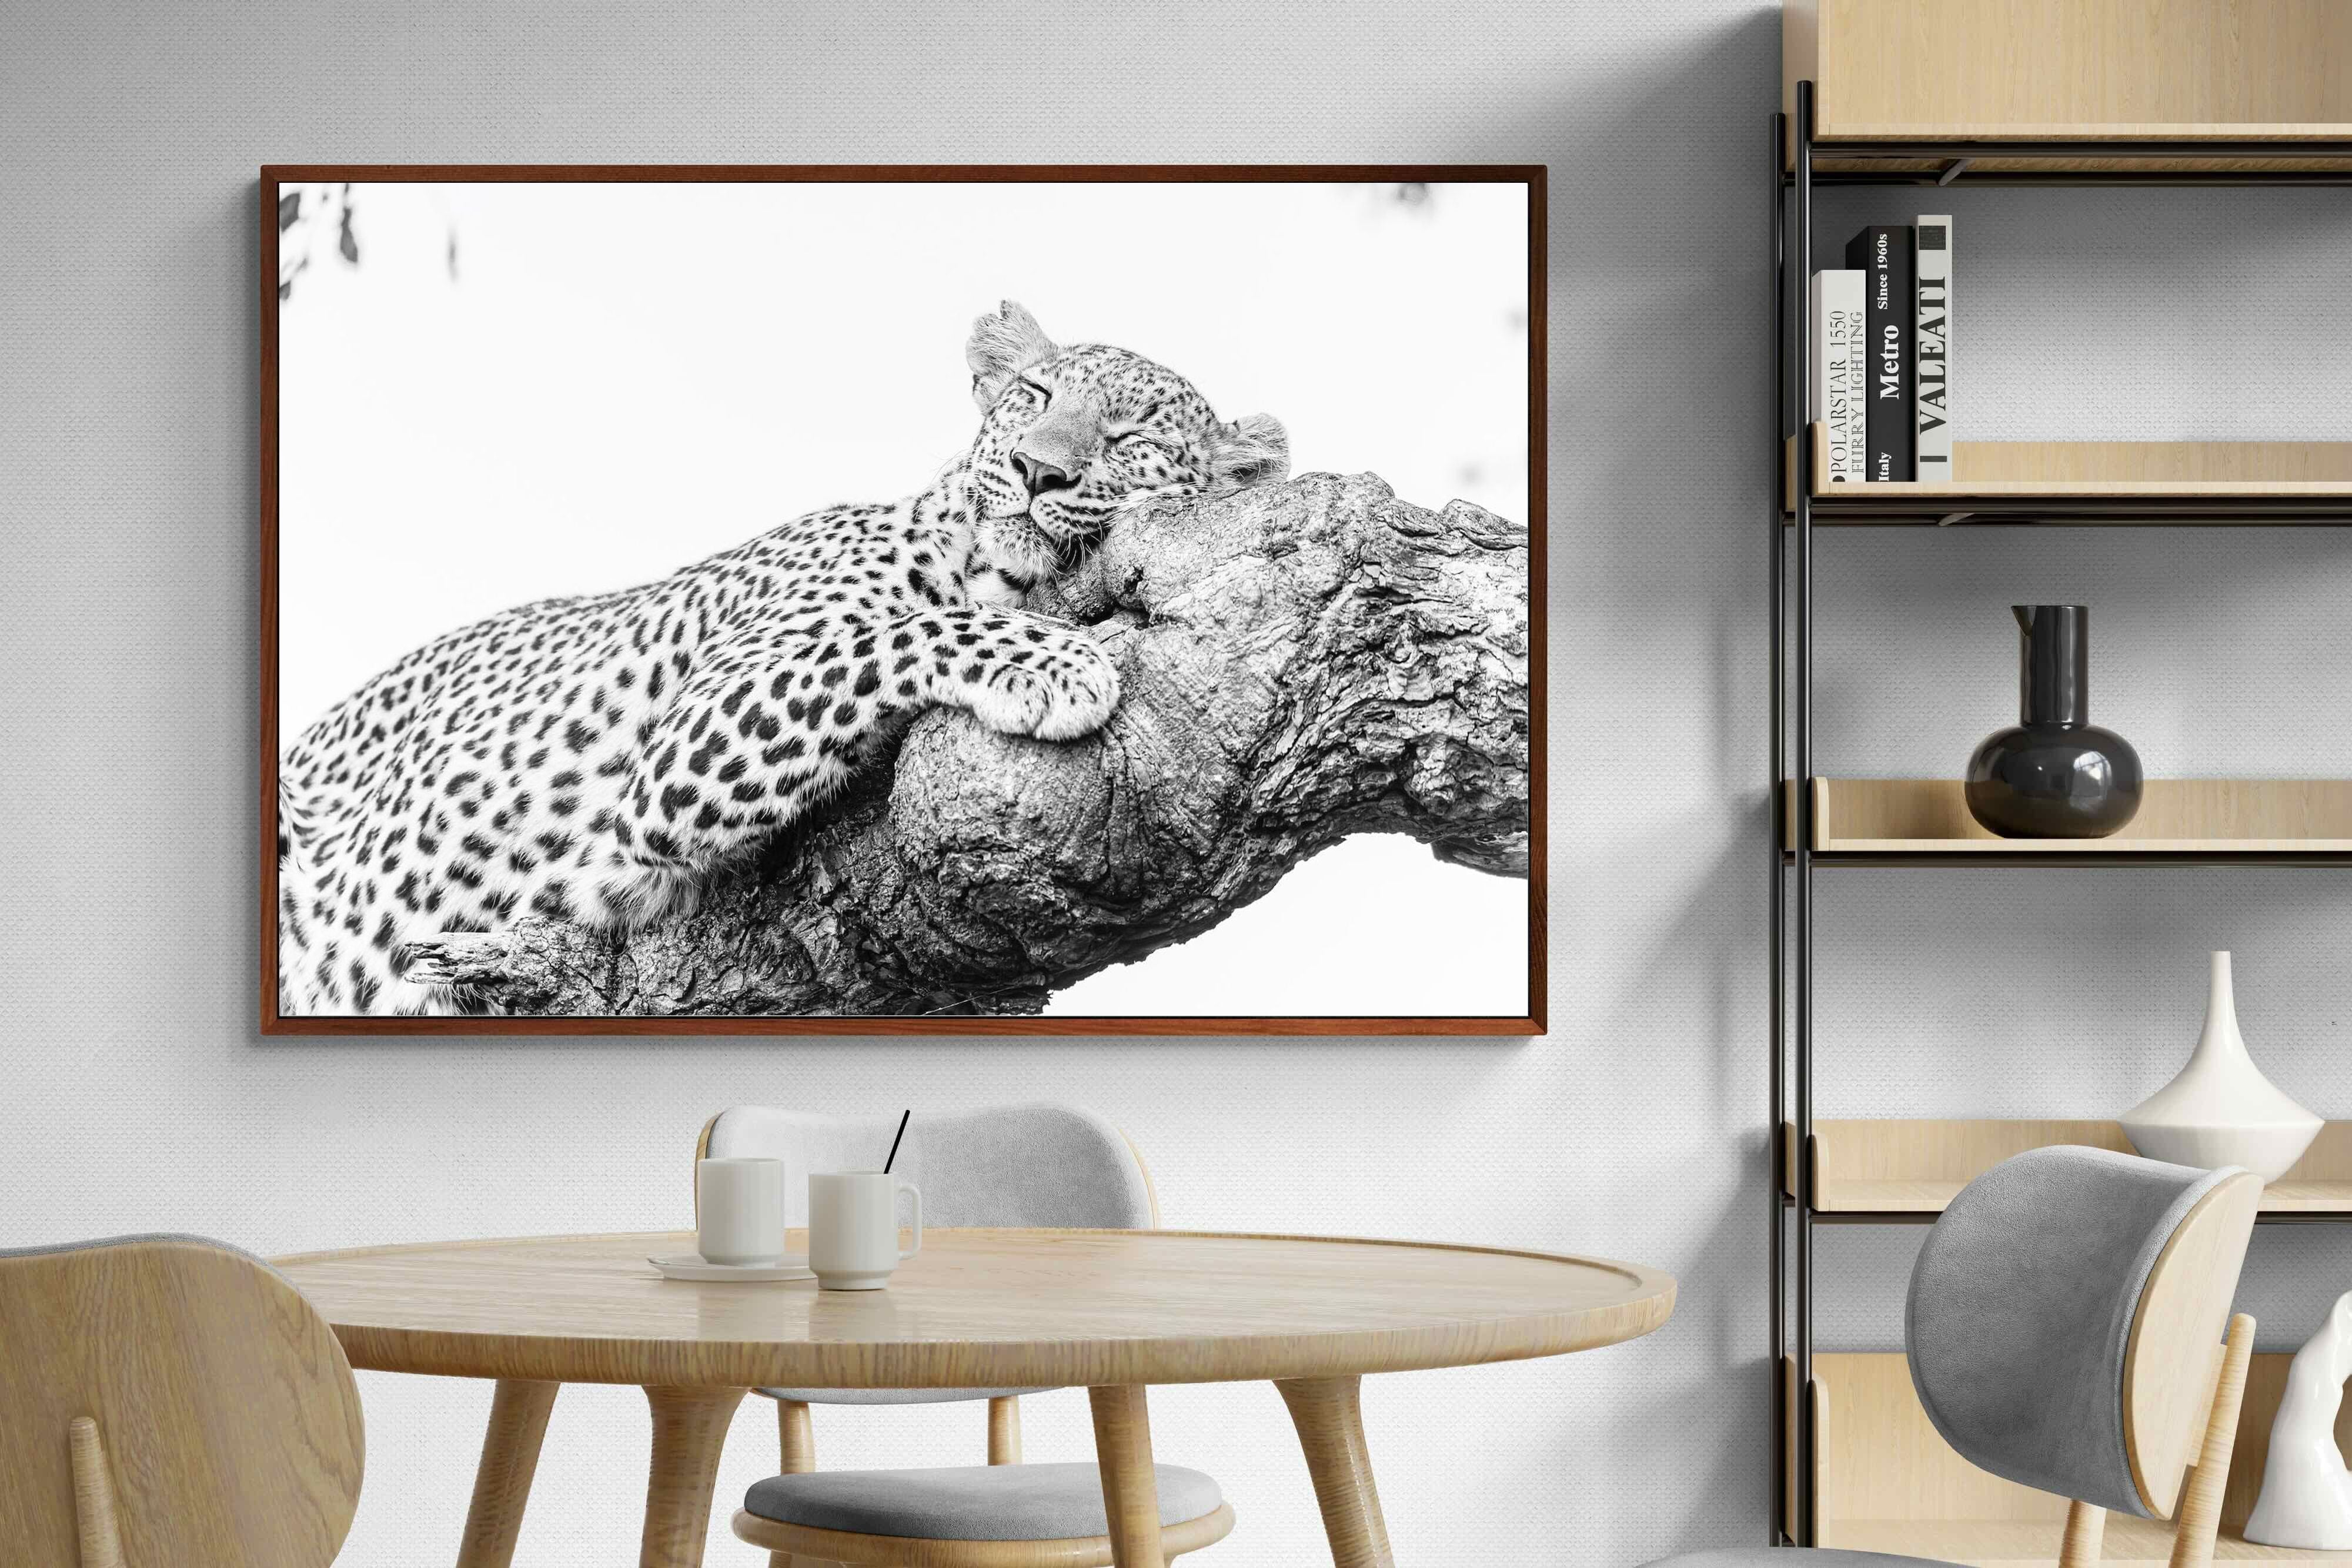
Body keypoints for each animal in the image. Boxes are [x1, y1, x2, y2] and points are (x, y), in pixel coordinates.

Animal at [277, 302, 1289, 1016]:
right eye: (1035, 398)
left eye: (1132, 438)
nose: (1040, 471)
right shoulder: (682, 746)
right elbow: (891, 634)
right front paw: (1056, 661)